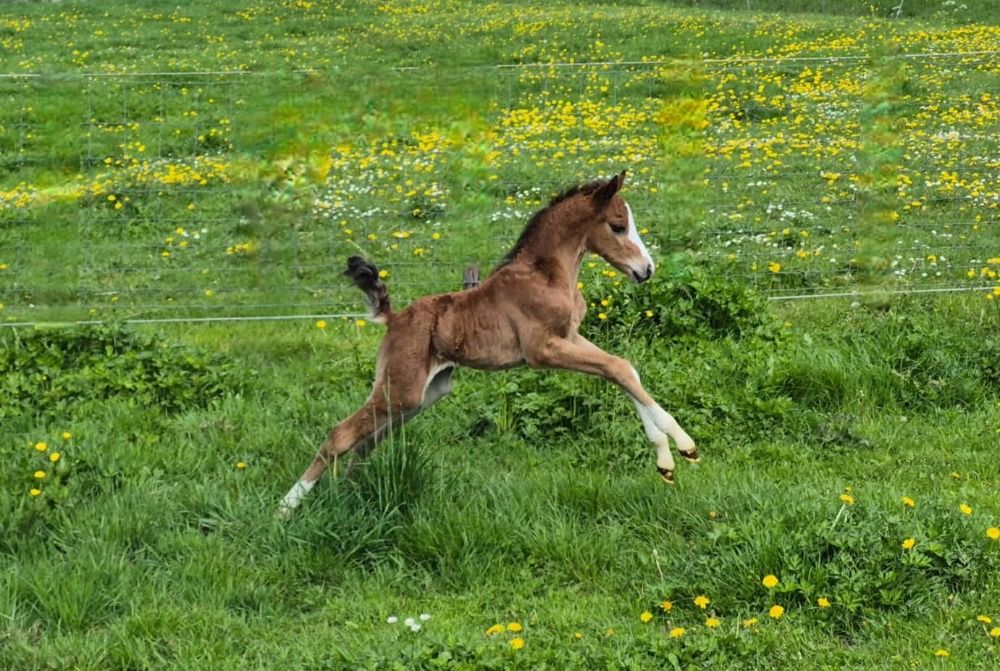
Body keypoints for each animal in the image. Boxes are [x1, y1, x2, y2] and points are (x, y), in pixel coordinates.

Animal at [278, 170, 698, 516]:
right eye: (618, 226)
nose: (646, 270)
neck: (546, 274)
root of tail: (394, 318)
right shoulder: (542, 350)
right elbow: (617, 367)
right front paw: (684, 444)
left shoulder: (570, 337)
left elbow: (624, 370)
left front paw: (665, 462)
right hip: (401, 389)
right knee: (341, 434)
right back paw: (285, 509)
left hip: (420, 395)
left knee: (365, 441)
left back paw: (350, 494)